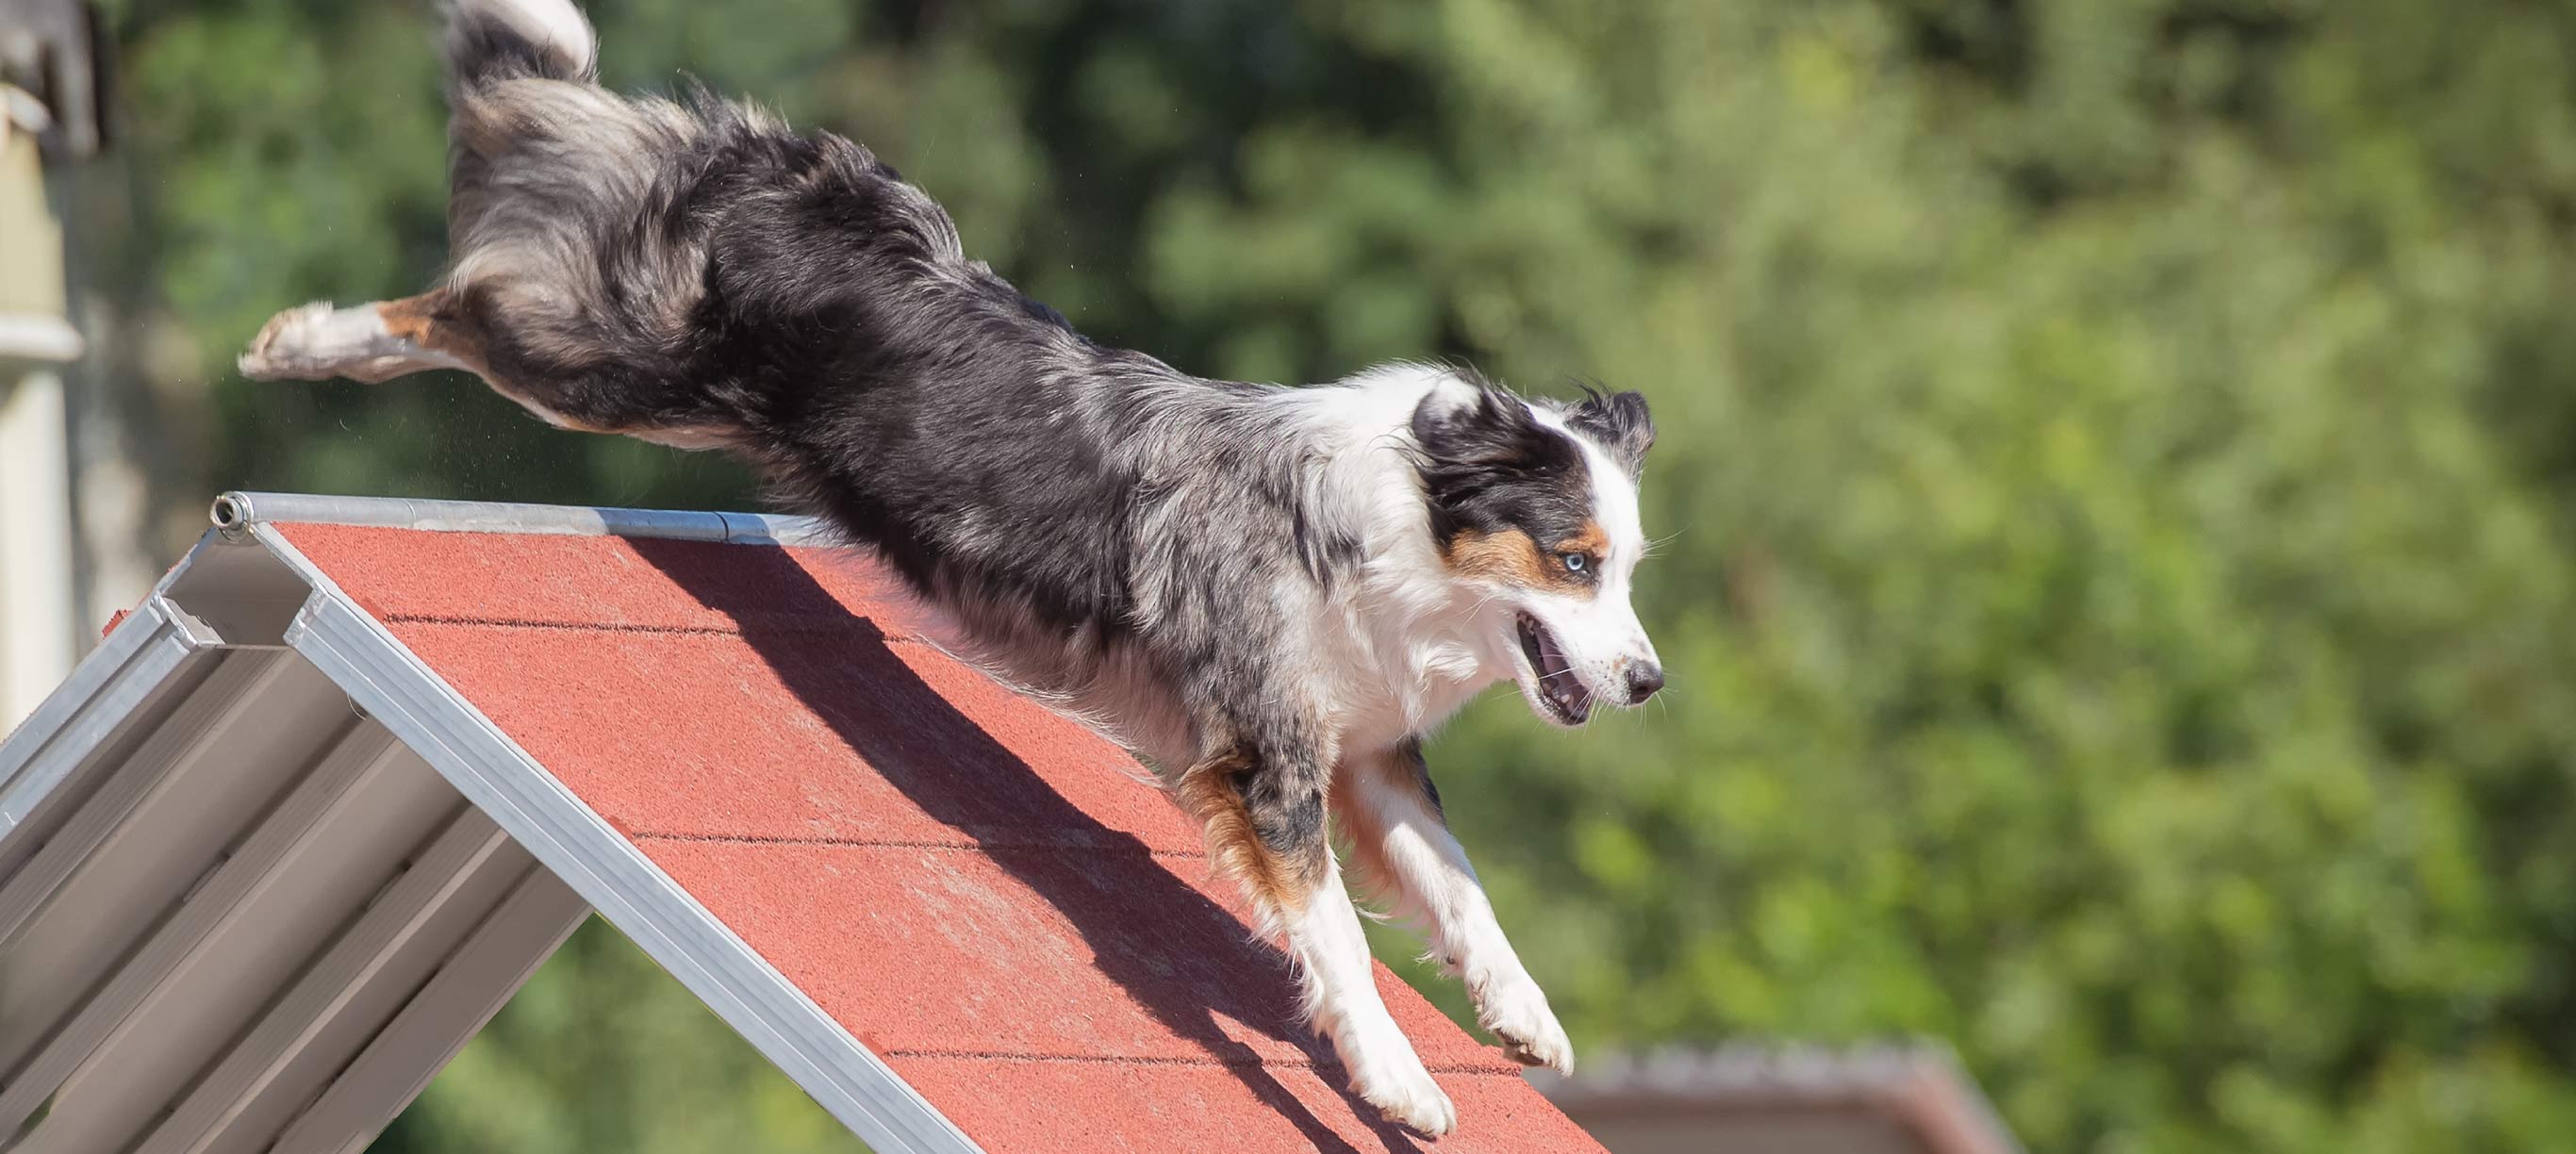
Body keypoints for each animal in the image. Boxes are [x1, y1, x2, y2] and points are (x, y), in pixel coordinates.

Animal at [231, 0, 1659, 1133]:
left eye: (1631, 566)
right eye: (1575, 560)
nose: (1649, 683)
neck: (1392, 530)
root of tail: (784, 169)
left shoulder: (1364, 750)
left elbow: (1463, 892)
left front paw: (1524, 1018)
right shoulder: (1266, 760)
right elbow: (1342, 943)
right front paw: (1399, 1083)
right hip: (615, 369)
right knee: (460, 299)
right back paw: (301, 337)